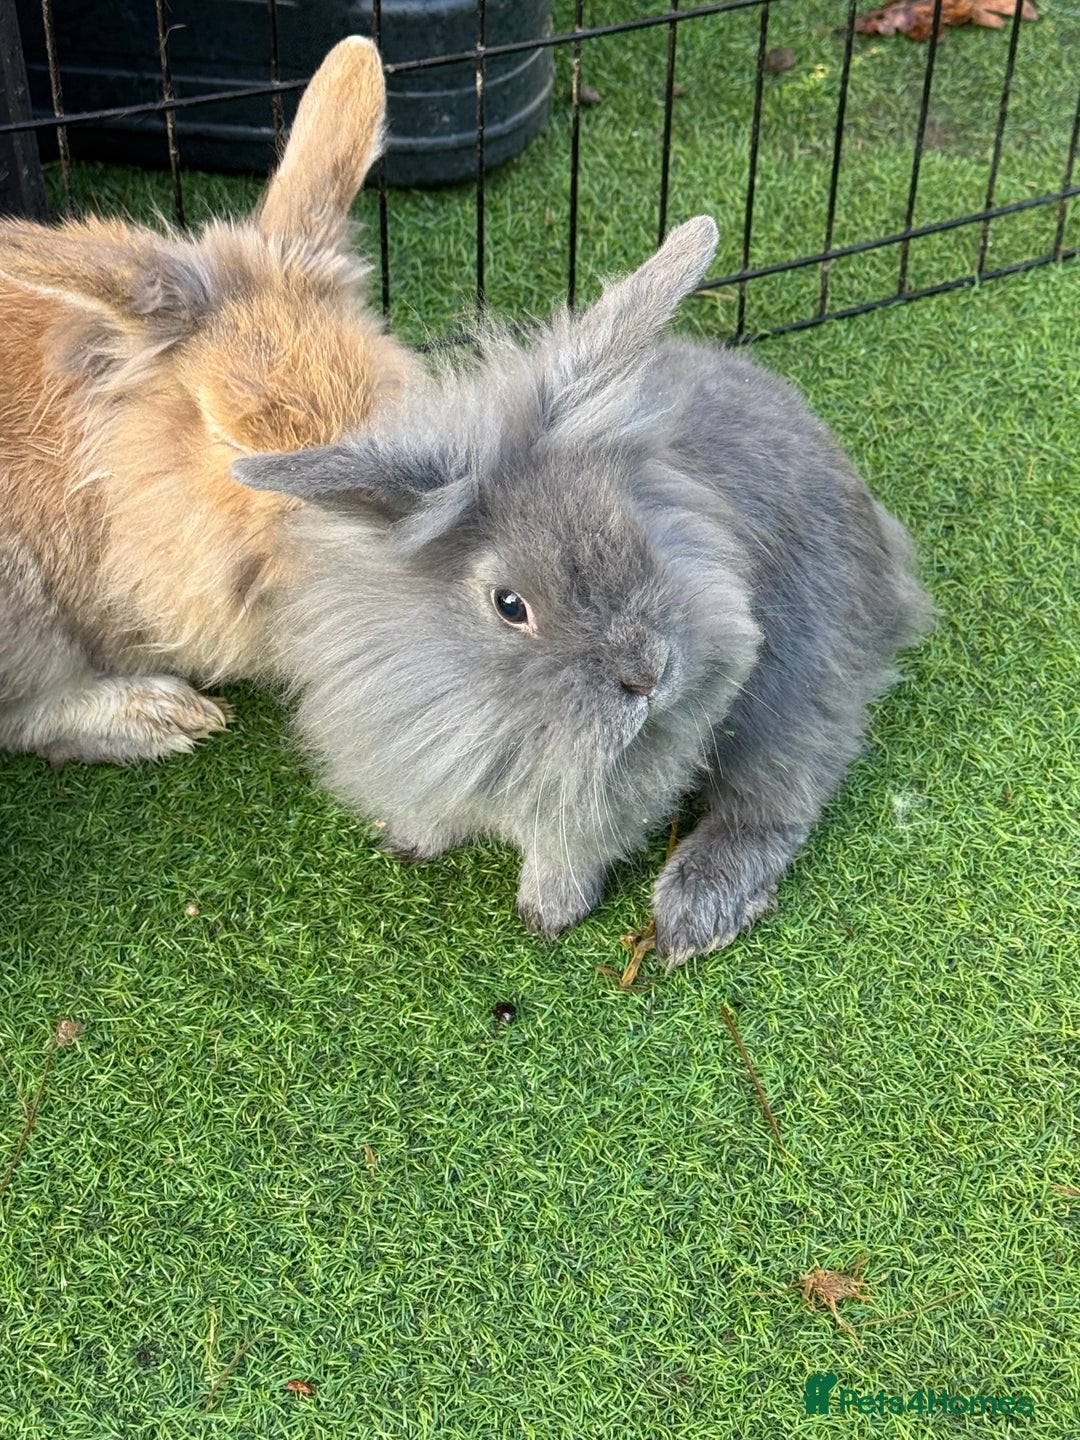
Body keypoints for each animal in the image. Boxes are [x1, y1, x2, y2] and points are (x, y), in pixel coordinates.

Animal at [232, 215, 932, 967]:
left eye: (635, 533)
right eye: (510, 605)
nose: (649, 675)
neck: (489, 710)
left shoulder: (614, 788)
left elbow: (568, 848)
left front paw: (549, 915)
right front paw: (411, 843)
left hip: (795, 687)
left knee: (776, 800)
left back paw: (693, 912)